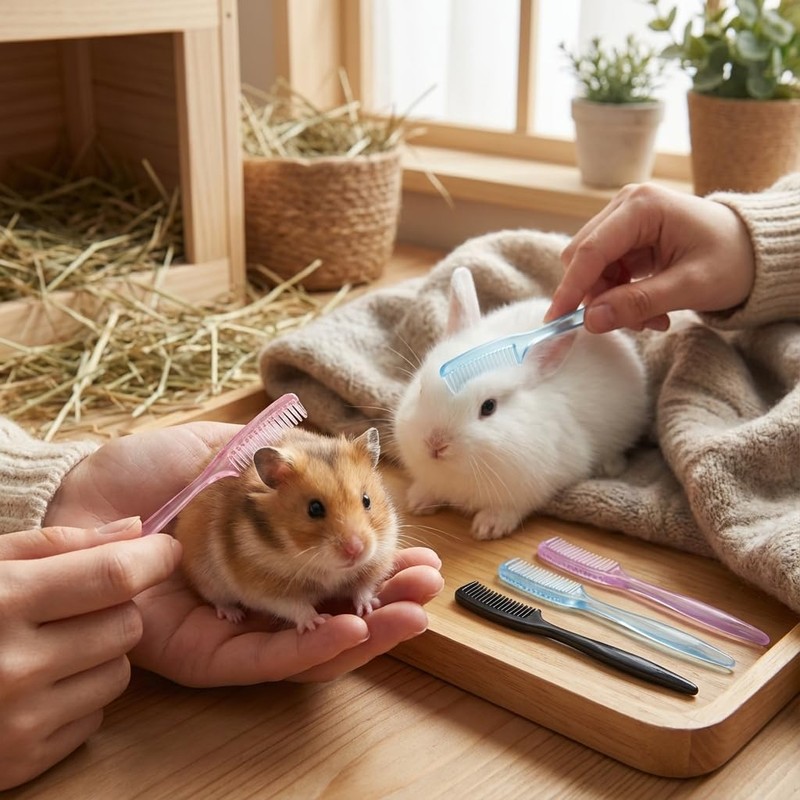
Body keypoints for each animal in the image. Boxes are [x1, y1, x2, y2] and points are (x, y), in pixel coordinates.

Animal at [173, 426, 399, 633]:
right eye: (314, 509)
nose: (356, 550)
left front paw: (370, 607)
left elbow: (363, 587)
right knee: (217, 599)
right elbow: (294, 606)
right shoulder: (262, 588)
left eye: (367, 500)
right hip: (205, 575)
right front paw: (317, 622)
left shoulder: (378, 558)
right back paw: (234, 615)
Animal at [393, 266, 649, 540]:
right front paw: (418, 501)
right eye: (421, 390)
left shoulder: (533, 486)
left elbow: (513, 507)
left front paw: (488, 527)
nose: (435, 444)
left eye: (489, 407)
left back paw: (611, 466)